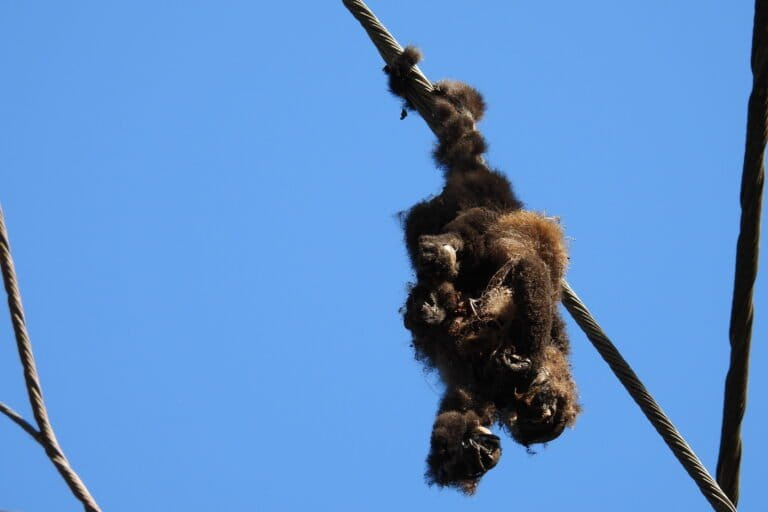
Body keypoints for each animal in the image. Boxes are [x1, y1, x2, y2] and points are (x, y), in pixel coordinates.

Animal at [388, 46, 580, 494]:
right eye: (541, 411)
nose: (488, 455)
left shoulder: (487, 387)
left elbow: (461, 405)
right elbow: (529, 273)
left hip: (441, 209)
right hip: (486, 208)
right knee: (486, 244)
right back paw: (444, 254)